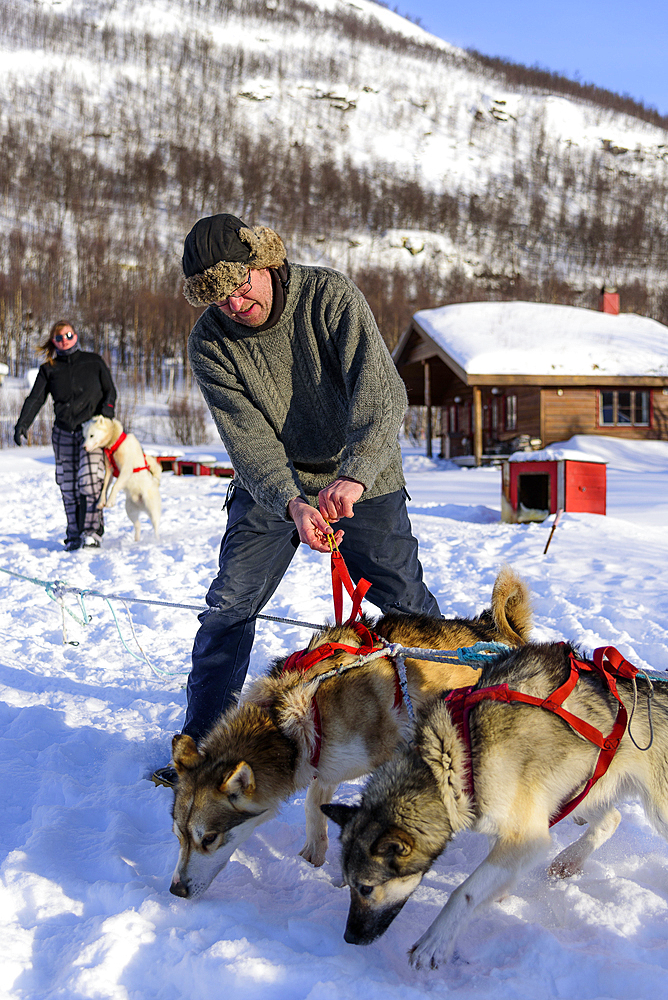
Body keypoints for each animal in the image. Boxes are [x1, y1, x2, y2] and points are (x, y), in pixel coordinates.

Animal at [83, 412, 161, 544]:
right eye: (84, 436)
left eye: (91, 435)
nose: (84, 447)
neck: (114, 444)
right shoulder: (109, 471)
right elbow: (104, 487)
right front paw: (101, 501)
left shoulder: (125, 470)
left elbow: (115, 486)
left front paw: (110, 501)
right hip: (130, 510)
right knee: (138, 525)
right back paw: (136, 540)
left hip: (151, 508)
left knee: (155, 525)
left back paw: (157, 540)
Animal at [168, 568, 532, 904]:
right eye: (178, 835)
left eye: (209, 838)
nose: (176, 889)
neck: (287, 719)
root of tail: (499, 632)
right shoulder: (324, 760)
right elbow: (314, 803)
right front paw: (314, 854)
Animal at [320, 640, 664, 968]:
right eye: (347, 884)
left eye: (365, 888)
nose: (349, 938)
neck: (452, 763)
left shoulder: (527, 836)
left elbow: (465, 891)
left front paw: (435, 941)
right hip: (583, 785)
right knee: (611, 819)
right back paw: (570, 860)